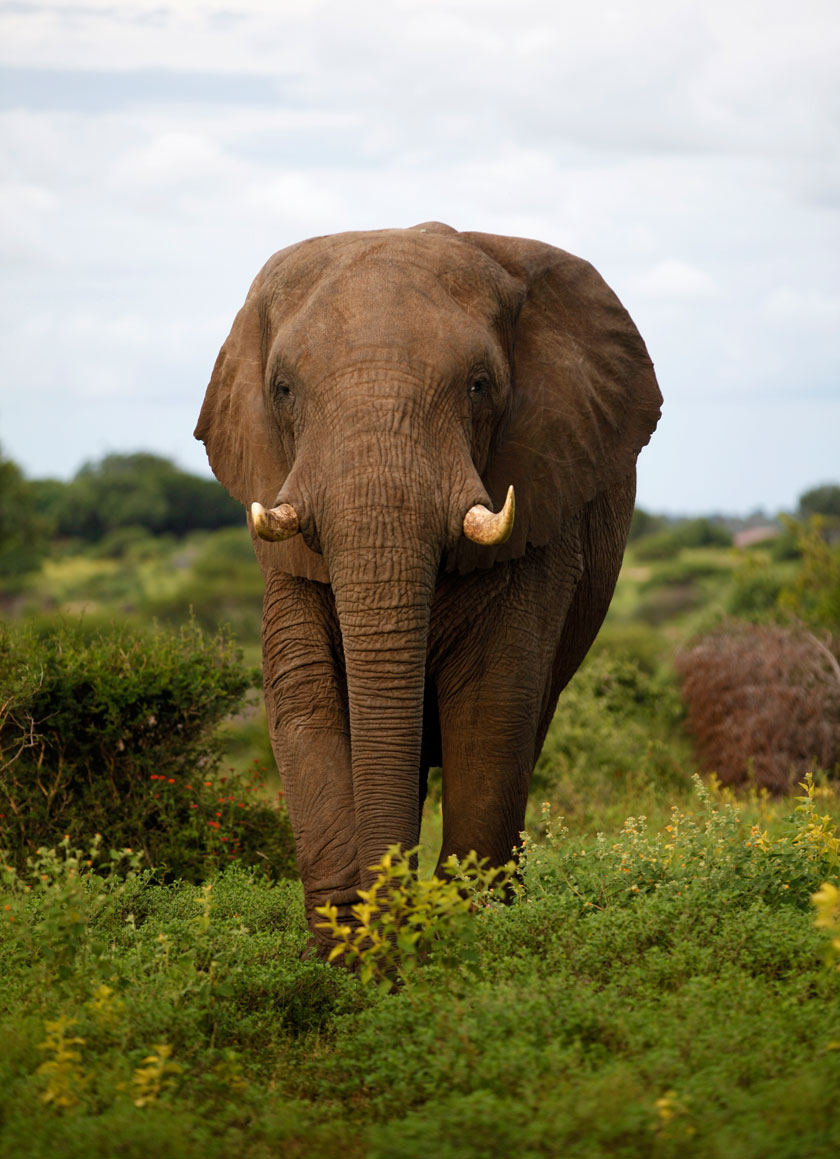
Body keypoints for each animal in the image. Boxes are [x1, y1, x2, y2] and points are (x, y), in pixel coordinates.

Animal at [195, 222, 661, 956]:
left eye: (479, 385)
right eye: (282, 389)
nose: (390, 934)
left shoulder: (541, 502)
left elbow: (493, 704)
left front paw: (456, 933)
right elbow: (304, 695)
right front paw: (342, 953)